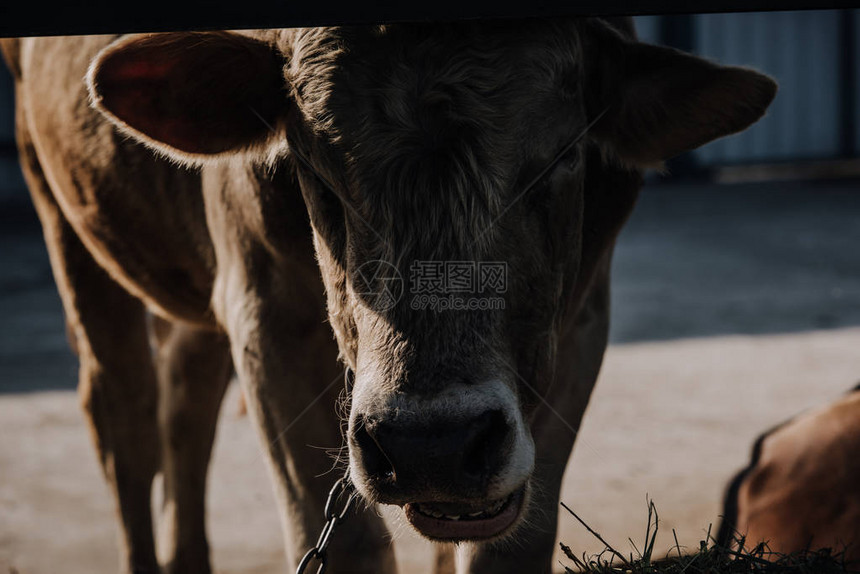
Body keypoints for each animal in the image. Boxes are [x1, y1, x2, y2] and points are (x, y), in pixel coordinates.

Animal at [3, 18, 776, 574]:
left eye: (562, 157)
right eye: (314, 169)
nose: (431, 445)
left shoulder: (583, 313)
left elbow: (510, 543)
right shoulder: (265, 314)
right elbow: (347, 544)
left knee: (184, 399)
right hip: (64, 212)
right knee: (124, 414)